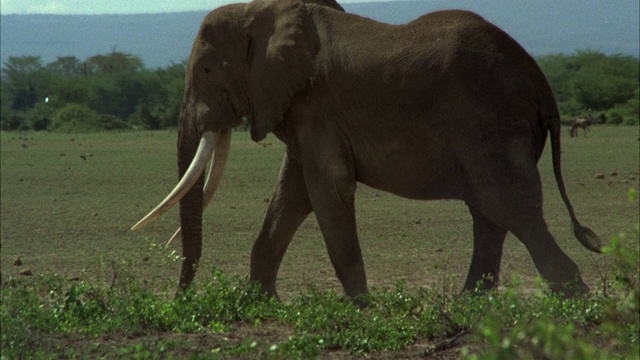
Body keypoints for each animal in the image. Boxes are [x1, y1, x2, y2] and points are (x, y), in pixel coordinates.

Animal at [132, 0, 604, 302]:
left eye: (206, 69)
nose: (179, 300)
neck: (262, 12)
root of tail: (542, 84)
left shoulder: (318, 107)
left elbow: (328, 188)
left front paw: (361, 307)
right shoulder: (305, 113)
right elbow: (292, 194)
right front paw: (262, 304)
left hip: (492, 126)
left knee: (509, 206)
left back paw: (576, 304)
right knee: (489, 214)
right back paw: (471, 304)